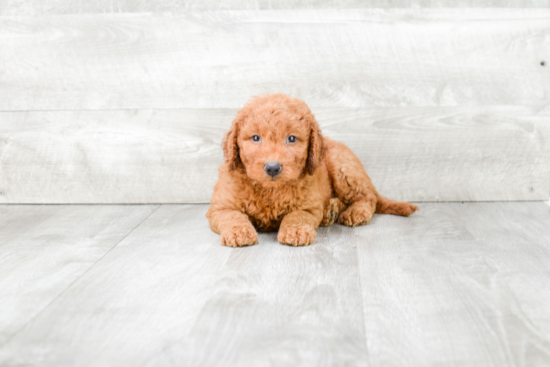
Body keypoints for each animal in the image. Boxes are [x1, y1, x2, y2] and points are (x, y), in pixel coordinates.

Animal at [206, 94, 418, 247]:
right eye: (255, 138)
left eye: (292, 138)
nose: (273, 167)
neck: (271, 190)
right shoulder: (220, 206)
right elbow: (232, 216)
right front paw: (238, 232)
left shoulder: (307, 205)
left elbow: (296, 216)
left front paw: (296, 231)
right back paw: (330, 211)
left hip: (343, 167)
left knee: (368, 197)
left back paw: (353, 212)